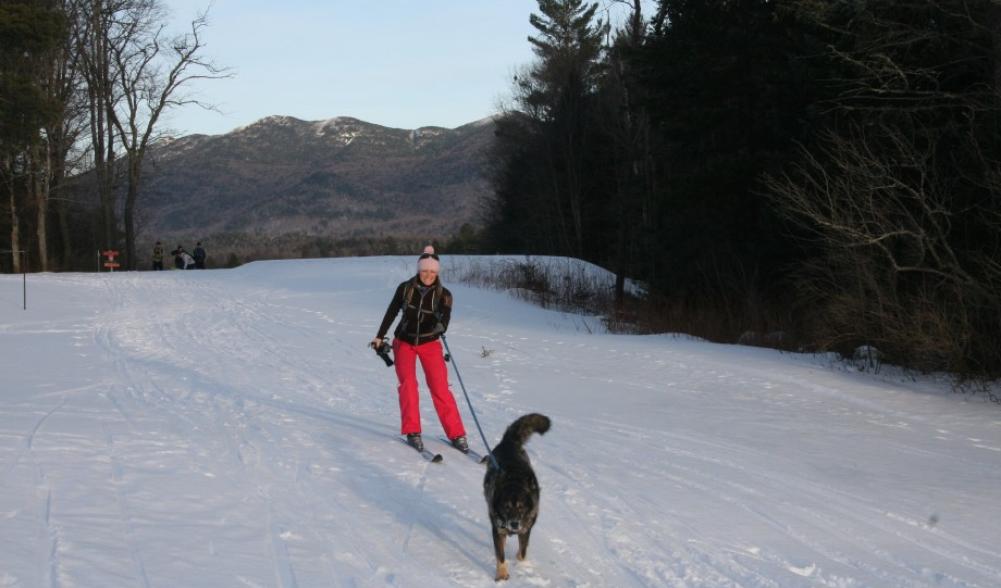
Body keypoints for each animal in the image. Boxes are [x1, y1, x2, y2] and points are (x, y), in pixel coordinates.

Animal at [482, 412, 552, 580]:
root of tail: (509, 441)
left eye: (521, 507)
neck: (514, 480)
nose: (514, 524)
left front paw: (520, 564)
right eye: (506, 507)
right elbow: (500, 555)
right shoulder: (498, 528)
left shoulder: (526, 529)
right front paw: (502, 575)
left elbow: (523, 551)